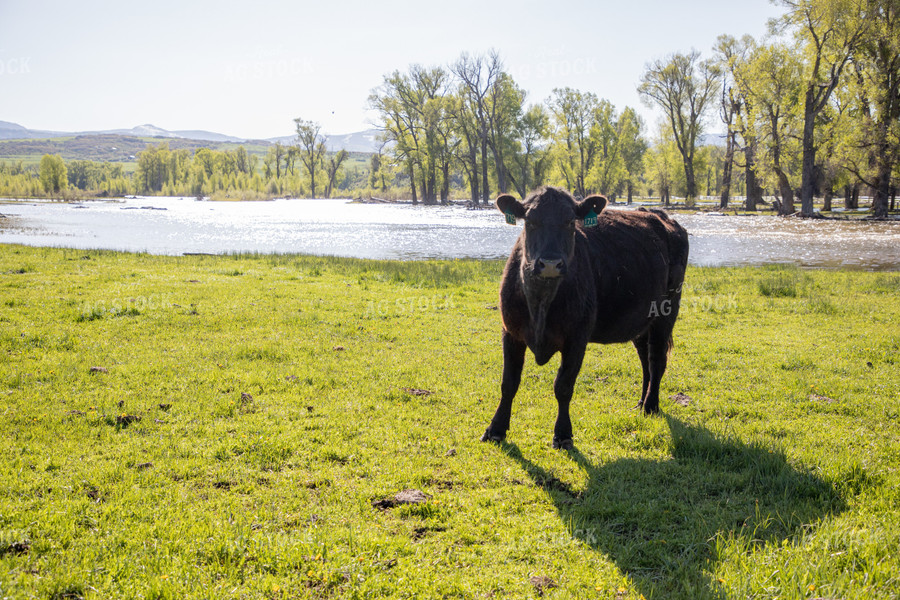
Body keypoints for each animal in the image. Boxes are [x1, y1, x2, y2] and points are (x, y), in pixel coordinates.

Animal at [486, 185, 688, 448]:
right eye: (530, 221)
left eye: (571, 222)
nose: (550, 263)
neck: (540, 303)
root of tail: (662, 216)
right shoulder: (510, 332)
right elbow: (508, 383)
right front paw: (496, 429)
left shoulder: (577, 338)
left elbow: (563, 386)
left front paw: (563, 434)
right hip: (642, 320)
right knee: (645, 359)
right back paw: (641, 402)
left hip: (666, 312)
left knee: (656, 359)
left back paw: (651, 406)